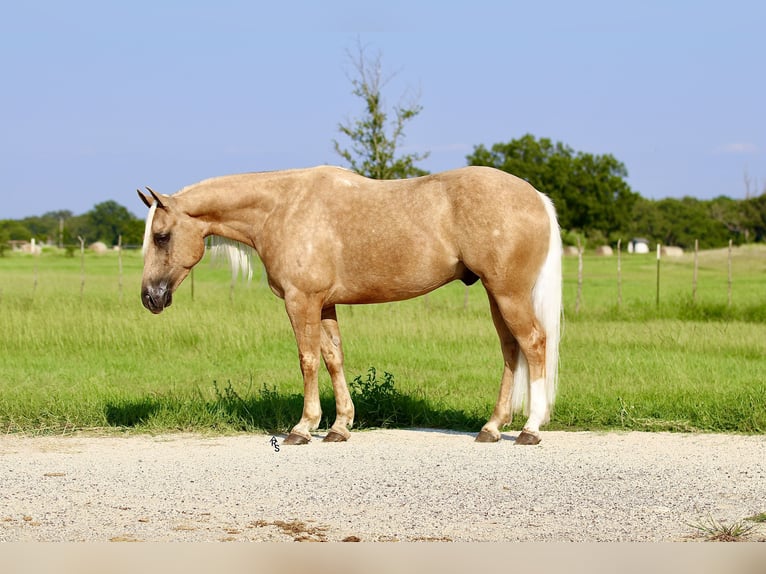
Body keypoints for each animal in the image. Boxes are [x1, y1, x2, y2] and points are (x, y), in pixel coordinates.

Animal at [138, 165, 562, 445]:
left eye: (161, 236)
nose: (150, 297)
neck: (282, 208)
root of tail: (536, 196)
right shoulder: (324, 305)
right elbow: (333, 358)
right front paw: (340, 426)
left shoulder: (301, 301)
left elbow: (308, 359)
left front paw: (303, 427)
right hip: (497, 295)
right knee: (510, 350)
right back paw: (492, 427)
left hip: (508, 293)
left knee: (533, 343)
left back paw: (530, 428)